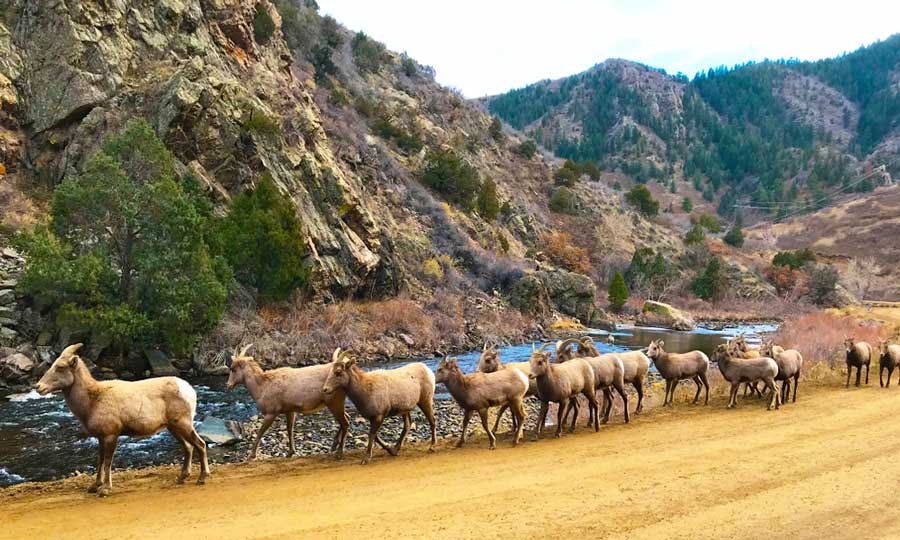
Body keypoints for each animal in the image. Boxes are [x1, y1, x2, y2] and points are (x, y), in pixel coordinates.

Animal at [34, 343, 209, 497]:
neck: (92, 401)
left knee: (200, 444)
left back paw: (202, 478)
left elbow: (107, 462)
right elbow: (100, 461)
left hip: (183, 424)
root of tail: (189, 391)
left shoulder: (111, 435)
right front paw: (94, 486)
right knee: (188, 447)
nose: (38, 387)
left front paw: (105, 489)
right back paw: (181, 478)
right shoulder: (101, 437)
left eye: (60, 367)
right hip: (173, 427)